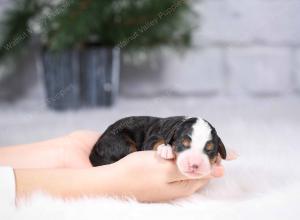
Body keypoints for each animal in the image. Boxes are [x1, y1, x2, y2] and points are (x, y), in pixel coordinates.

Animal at [89, 117, 227, 177]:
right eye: (183, 144)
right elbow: (158, 141)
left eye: (209, 150)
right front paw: (166, 149)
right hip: (120, 143)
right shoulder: (153, 137)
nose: (194, 164)